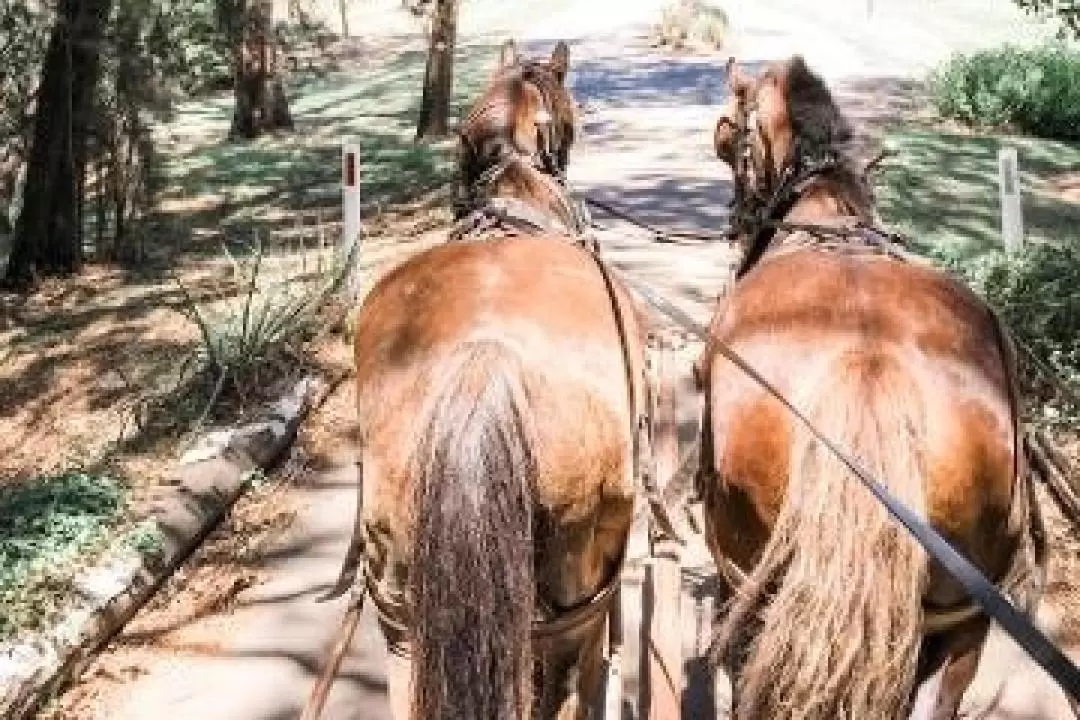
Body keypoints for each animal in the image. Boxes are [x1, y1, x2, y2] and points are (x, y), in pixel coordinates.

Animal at [699, 57, 1045, 720]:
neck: (826, 213)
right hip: (964, 620)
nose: (736, 222)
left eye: (727, 136)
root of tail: (869, 359)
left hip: (747, 577)